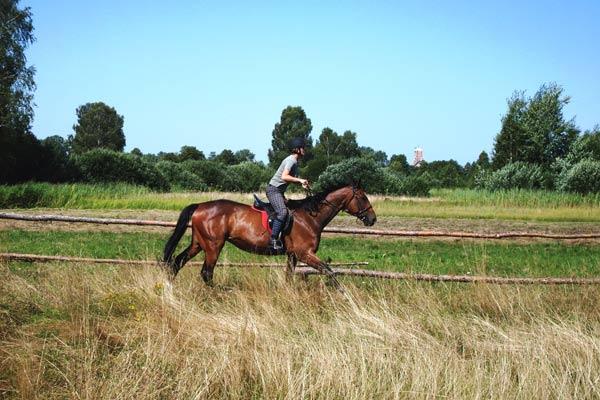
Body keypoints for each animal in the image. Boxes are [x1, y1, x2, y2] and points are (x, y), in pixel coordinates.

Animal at [159, 184, 376, 284]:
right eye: (363, 198)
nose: (372, 219)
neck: (310, 216)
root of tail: (200, 206)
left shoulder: (293, 255)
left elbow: (289, 276)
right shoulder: (305, 254)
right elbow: (329, 270)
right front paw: (342, 294)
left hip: (199, 243)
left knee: (177, 262)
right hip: (213, 246)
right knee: (206, 272)